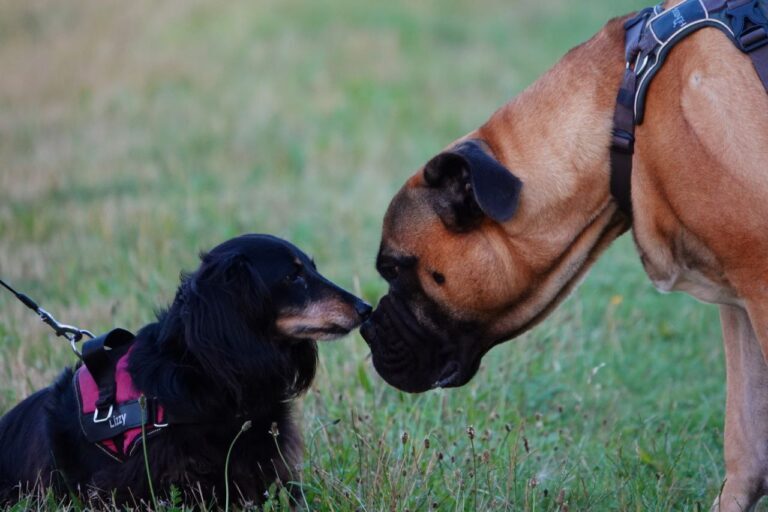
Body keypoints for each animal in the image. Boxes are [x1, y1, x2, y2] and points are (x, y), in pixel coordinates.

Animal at [358, 3, 768, 508]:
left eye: (393, 269)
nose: (368, 328)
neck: (626, 111)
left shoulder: (759, 290)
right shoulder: (739, 299)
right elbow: (745, 444)